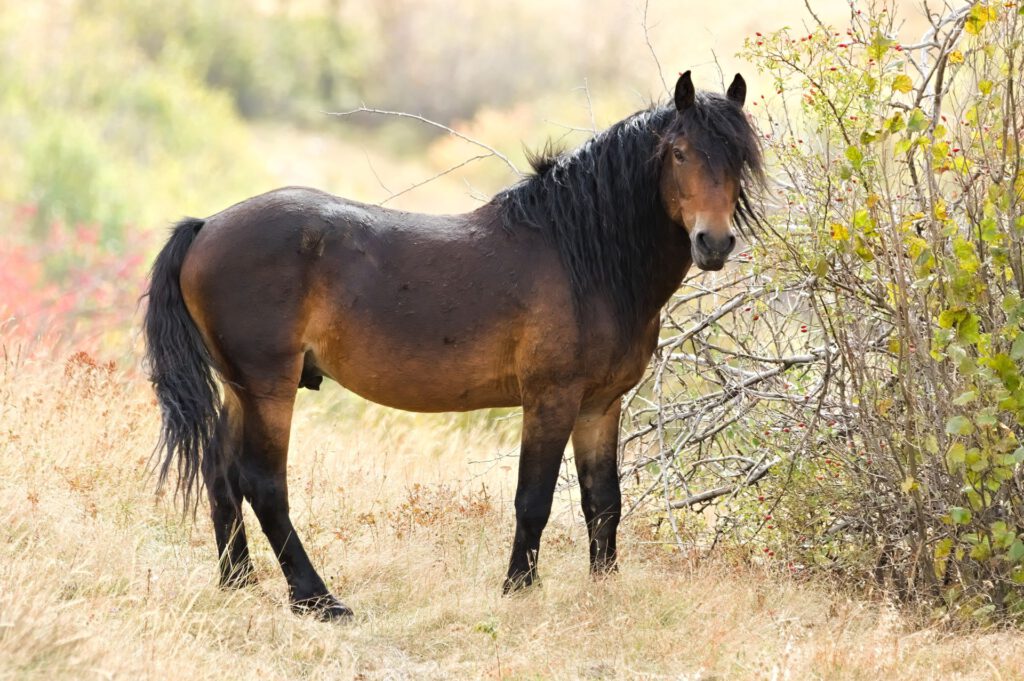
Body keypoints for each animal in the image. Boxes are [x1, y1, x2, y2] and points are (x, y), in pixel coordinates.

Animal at [143, 71, 764, 620]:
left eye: (739, 157)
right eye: (679, 152)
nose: (713, 242)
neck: (581, 258)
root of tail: (207, 226)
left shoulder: (600, 406)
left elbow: (603, 500)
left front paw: (604, 590)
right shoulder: (551, 399)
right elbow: (534, 499)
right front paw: (518, 590)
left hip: (240, 388)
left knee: (221, 472)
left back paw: (238, 582)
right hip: (270, 387)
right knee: (263, 484)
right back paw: (317, 600)